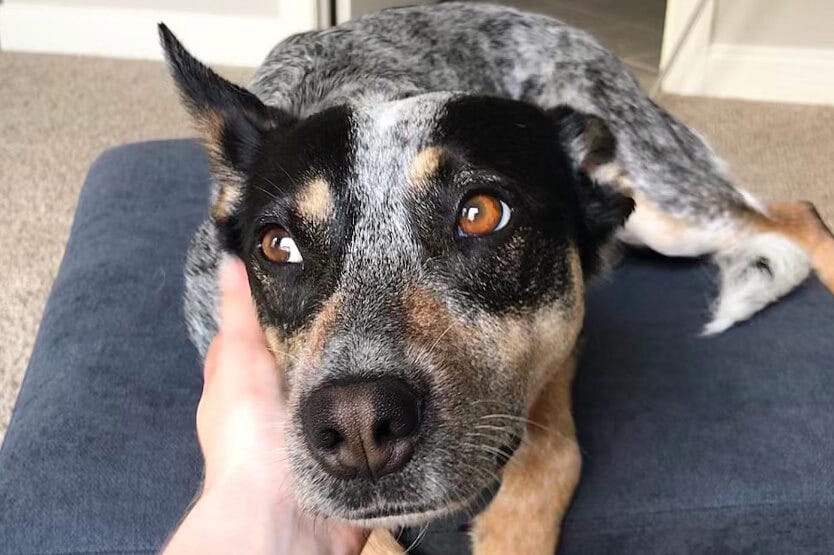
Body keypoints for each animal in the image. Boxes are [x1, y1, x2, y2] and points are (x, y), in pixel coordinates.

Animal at [158, 2, 832, 552]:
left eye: (481, 213)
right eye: (279, 246)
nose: (357, 425)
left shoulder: (566, 331)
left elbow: (550, 452)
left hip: (665, 204)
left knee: (795, 213)